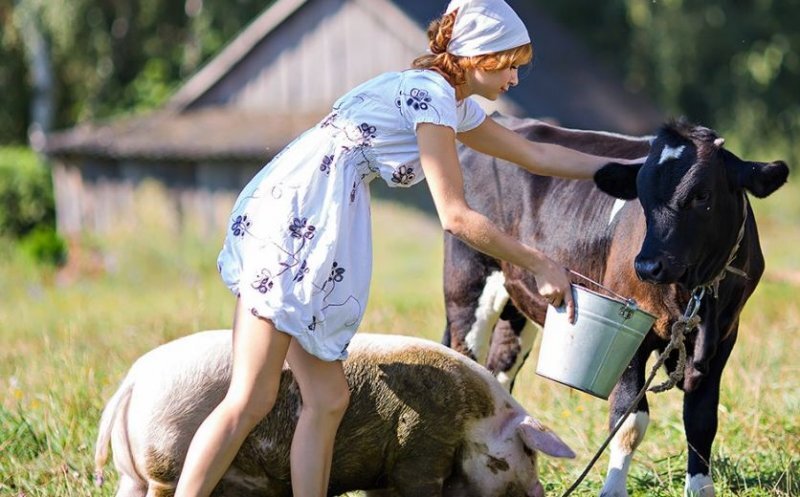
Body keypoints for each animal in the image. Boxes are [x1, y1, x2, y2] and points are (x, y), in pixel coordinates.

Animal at [444, 114, 788, 494]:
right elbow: (629, 419)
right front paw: (613, 488)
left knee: (499, 371)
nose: (648, 265)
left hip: (516, 307)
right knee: (466, 358)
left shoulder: (724, 335)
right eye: (641, 195)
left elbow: (701, 420)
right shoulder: (631, 337)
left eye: (701, 195)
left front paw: (700, 489)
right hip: (467, 284)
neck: (692, 292)